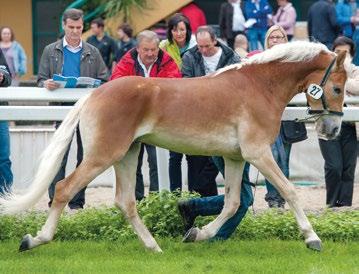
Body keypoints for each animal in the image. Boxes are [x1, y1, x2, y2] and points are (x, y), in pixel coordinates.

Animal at [0, 40, 348, 253]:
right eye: (337, 87)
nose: (332, 130)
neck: (258, 85)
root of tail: (93, 94)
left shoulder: (236, 158)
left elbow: (232, 202)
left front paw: (197, 233)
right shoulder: (258, 153)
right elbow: (289, 191)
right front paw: (313, 238)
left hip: (127, 155)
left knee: (125, 202)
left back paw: (154, 247)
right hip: (103, 155)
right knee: (63, 189)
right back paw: (34, 240)